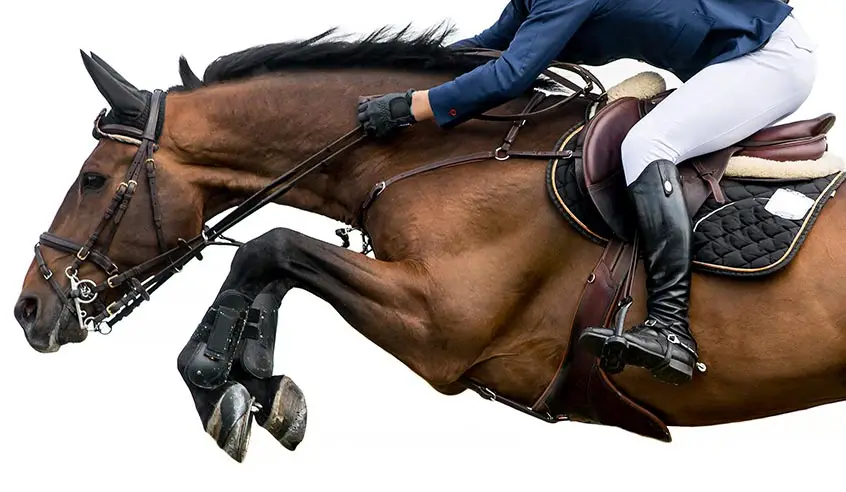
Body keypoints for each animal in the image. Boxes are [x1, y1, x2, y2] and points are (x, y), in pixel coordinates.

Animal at [13, 26, 846, 462]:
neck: (443, 156)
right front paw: (256, 386)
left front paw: (218, 383)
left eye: (92, 179)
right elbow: (276, 261)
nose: (29, 309)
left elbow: (271, 247)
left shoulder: (444, 325)